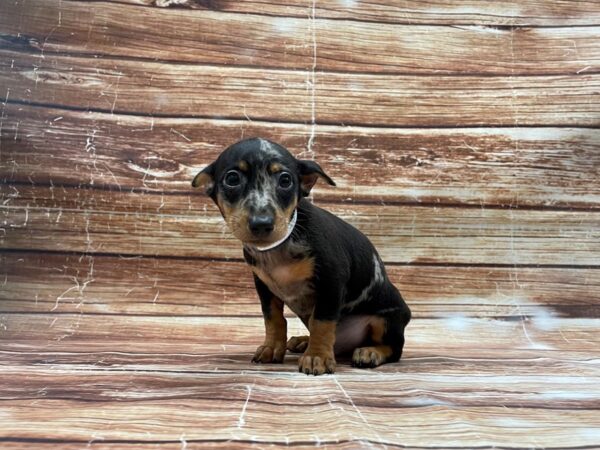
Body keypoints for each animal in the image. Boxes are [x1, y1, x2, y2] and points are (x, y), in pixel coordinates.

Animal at [195, 138, 410, 376]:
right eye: (232, 179)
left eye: (285, 180)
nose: (262, 223)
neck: (279, 248)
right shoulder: (263, 285)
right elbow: (273, 319)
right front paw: (272, 347)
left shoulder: (331, 282)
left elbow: (322, 323)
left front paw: (317, 357)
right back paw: (303, 341)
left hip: (387, 320)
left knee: (394, 348)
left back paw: (370, 351)